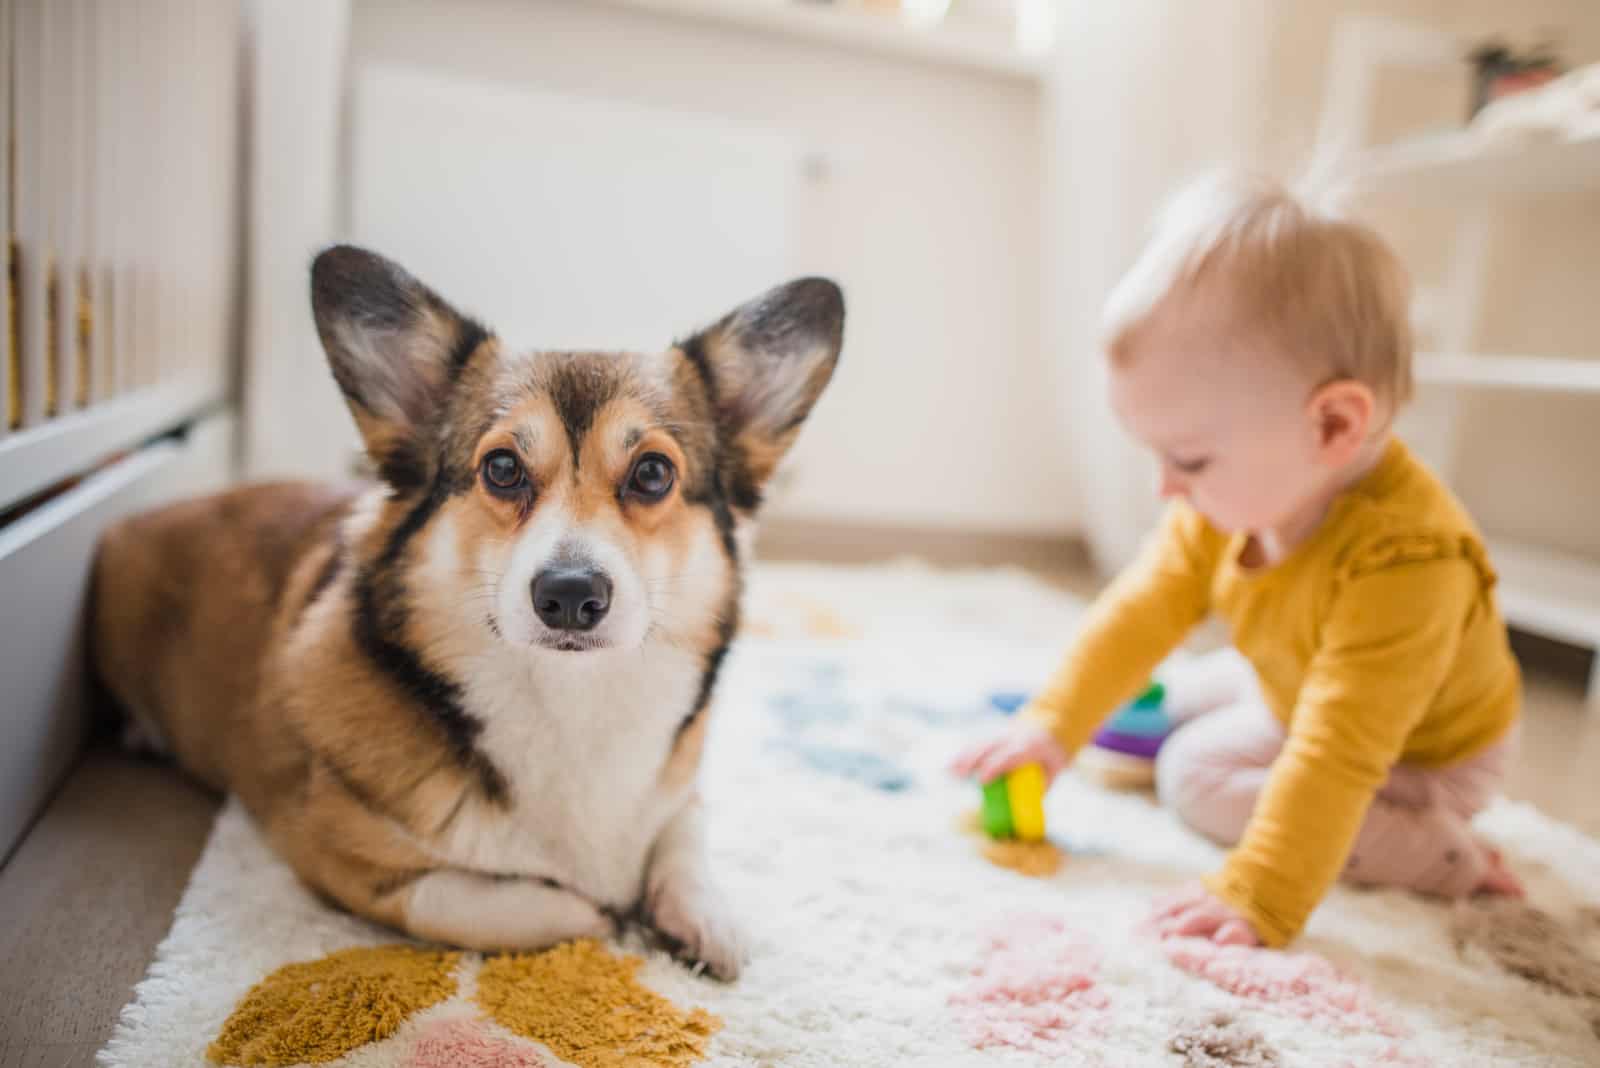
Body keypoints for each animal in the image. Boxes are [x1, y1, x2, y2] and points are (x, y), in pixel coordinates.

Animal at [92, 247, 844, 978]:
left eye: (654, 473)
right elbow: (482, 903)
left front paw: (706, 916)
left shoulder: (681, 792)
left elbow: (682, 834)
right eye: (503, 468)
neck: (571, 702)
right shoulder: (331, 852)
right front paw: (600, 914)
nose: (570, 595)